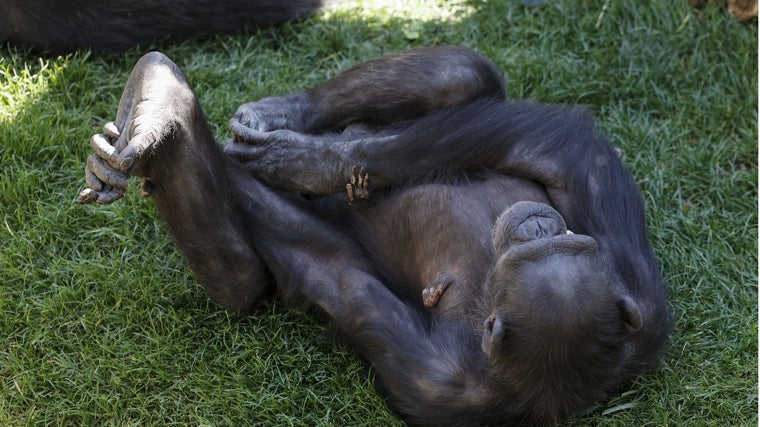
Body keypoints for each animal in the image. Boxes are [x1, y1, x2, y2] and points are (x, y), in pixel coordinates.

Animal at [77, 47, 672, 427]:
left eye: (520, 256)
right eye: (566, 245)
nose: (539, 225)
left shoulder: (431, 379)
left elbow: (324, 262)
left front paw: (303, 163)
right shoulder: (638, 294)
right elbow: (568, 152)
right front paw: (312, 159)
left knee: (241, 280)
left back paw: (160, 103)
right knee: (462, 74)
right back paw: (275, 113)